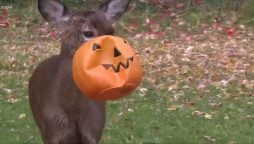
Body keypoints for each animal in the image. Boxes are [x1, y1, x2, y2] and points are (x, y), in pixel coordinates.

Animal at [28, 0, 130, 143]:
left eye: (112, 31)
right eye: (88, 33)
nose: (117, 55)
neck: (72, 111)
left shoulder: (93, 131)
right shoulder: (51, 132)